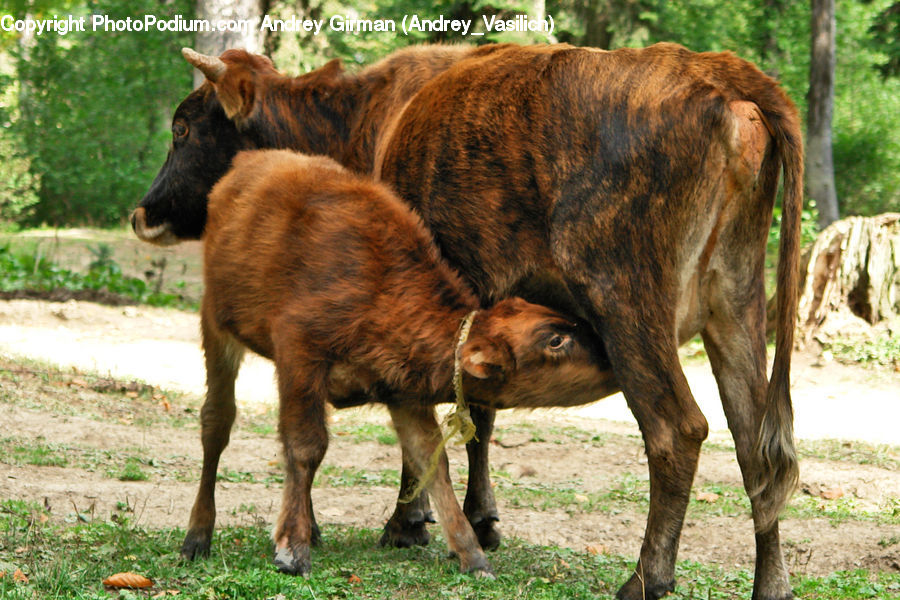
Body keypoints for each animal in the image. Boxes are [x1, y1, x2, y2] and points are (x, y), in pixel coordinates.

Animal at [197, 148, 614, 575]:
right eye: (555, 339)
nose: (610, 357)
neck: (382, 294)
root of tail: (250, 161)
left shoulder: (403, 394)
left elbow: (432, 462)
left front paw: (472, 555)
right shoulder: (300, 355)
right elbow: (306, 446)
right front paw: (292, 551)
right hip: (216, 326)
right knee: (217, 422)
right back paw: (197, 537)